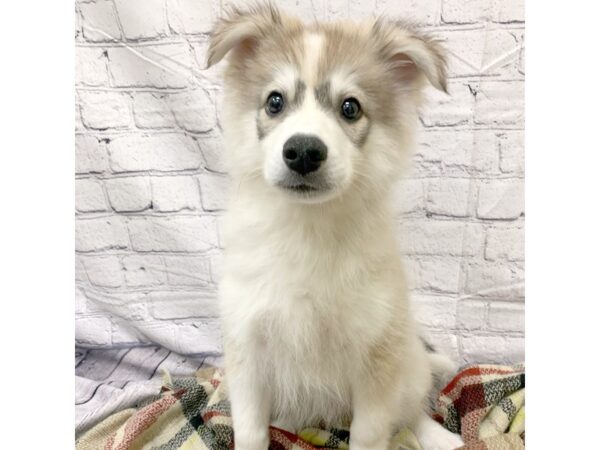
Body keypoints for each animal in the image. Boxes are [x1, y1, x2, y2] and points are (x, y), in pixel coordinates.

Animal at [206, 3, 464, 450]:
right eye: (275, 102)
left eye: (350, 107)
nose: (304, 151)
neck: (309, 228)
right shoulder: (248, 349)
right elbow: (252, 430)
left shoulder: (376, 356)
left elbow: (370, 433)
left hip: (407, 366)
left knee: (411, 410)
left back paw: (439, 436)